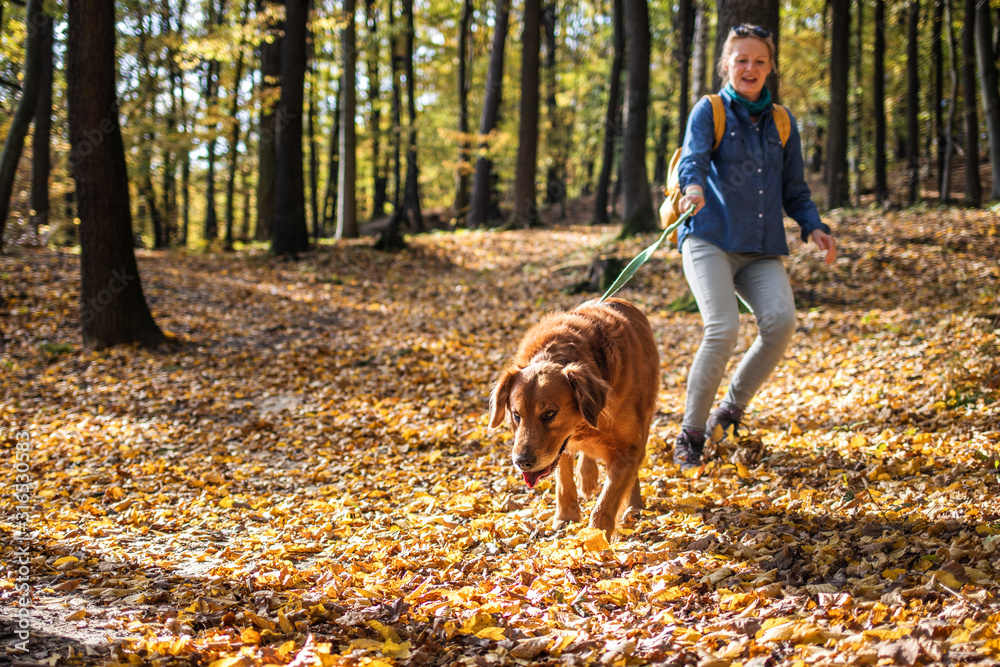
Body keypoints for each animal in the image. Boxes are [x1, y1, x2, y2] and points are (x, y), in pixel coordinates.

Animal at [488, 300, 660, 540]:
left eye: (550, 414)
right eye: (516, 415)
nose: (522, 462)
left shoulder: (629, 448)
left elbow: (607, 499)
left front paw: (595, 536)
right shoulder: (560, 446)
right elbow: (564, 482)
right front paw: (566, 518)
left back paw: (634, 505)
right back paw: (587, 479)